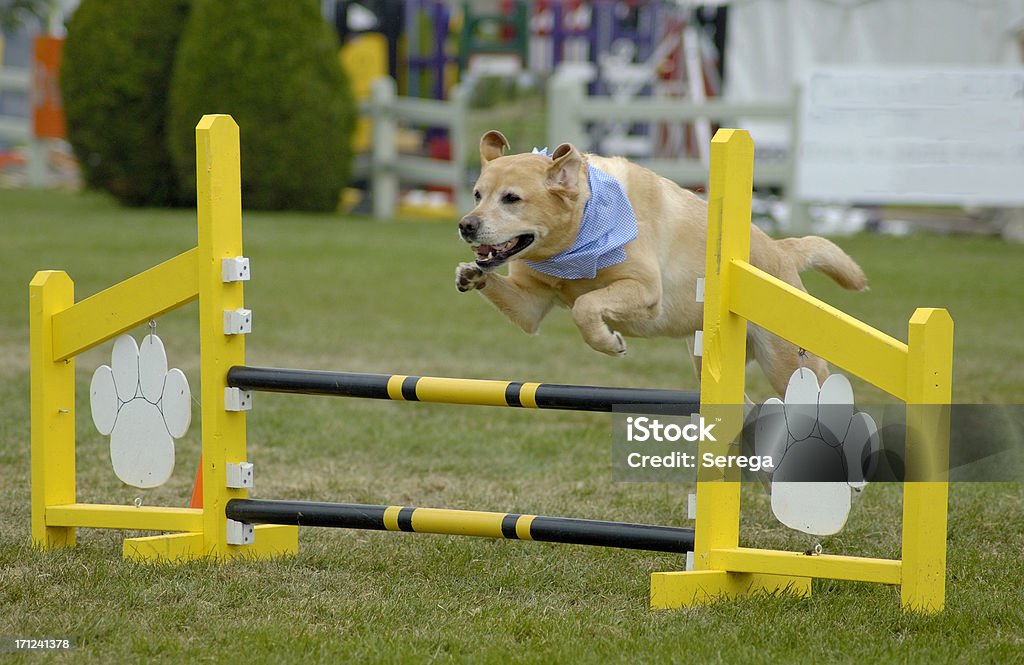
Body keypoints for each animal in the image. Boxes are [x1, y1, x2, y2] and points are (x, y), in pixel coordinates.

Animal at [456, 129, 864, 393]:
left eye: (511, 198)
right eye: (477, 194)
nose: (465, 225)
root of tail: (782, 250)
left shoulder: (644, 288)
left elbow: (585, 306)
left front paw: (610, 342)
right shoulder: (532, 306)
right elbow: (523, 300)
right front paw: (469, 274)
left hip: (787, 364)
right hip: (707, 362)